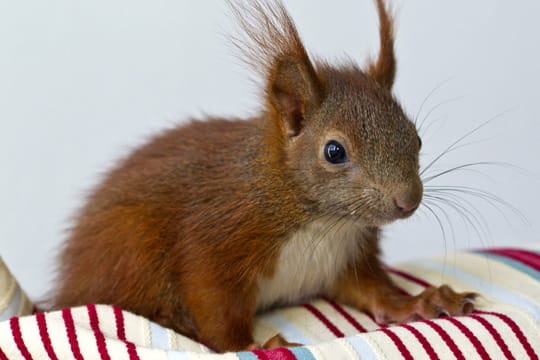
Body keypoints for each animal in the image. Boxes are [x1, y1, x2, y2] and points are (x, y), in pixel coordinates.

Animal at [49, 0, 472, 352]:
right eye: (334, 152)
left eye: (415, 137)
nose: (408, 200)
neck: (322, 221)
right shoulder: (217, 236)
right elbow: (215, 309)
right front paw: (256, 345)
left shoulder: (346, 257)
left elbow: (373, 291)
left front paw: (420, 301)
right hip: (129, 245)